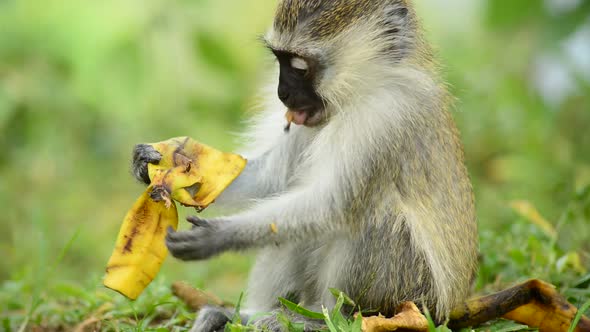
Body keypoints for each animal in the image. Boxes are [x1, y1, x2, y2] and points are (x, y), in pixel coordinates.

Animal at [133, 0, 480, 330]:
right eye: (279, 59)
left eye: (299, 66)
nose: (282, 93)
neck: (361, 92)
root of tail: (447, 308)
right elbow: (274, 180)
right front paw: (152, 163)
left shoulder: (385, 116)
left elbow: (332, 204)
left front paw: (221, 236)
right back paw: (242, 317)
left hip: (409, 295)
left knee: (368, 218)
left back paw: (323, 321)